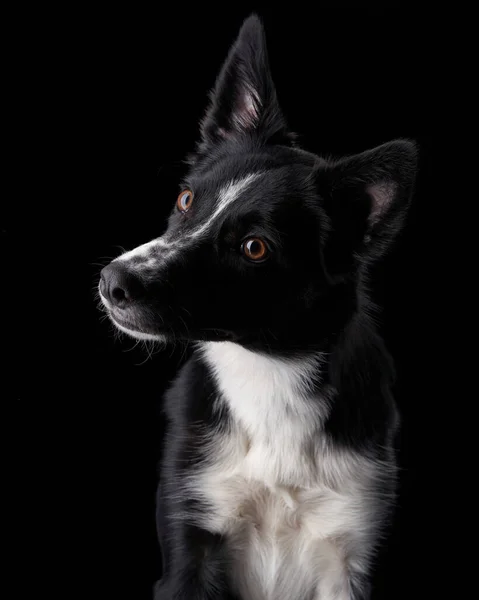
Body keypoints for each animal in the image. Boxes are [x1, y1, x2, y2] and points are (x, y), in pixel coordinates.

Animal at [99, 14, 418, 600]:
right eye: (185, 200)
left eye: (254, 247)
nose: (113, 282)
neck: (267, 373)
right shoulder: (190, 539)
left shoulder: (351, 553)